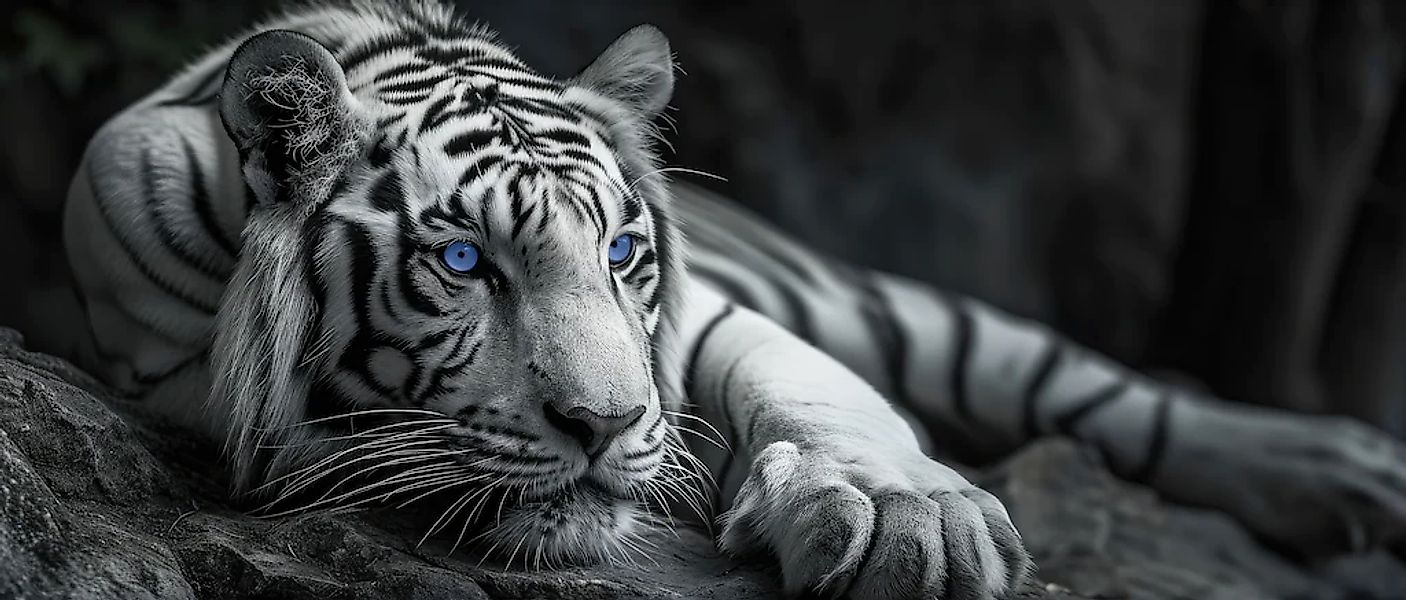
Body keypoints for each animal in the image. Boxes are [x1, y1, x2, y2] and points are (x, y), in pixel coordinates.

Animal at [60, 1, 1406, 599]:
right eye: (463, 265)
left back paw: (1342, 474)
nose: (603, 428)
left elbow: (814, 390)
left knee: (1099, 388)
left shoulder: (708, 323)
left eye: (619, 254)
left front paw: (913, 523)